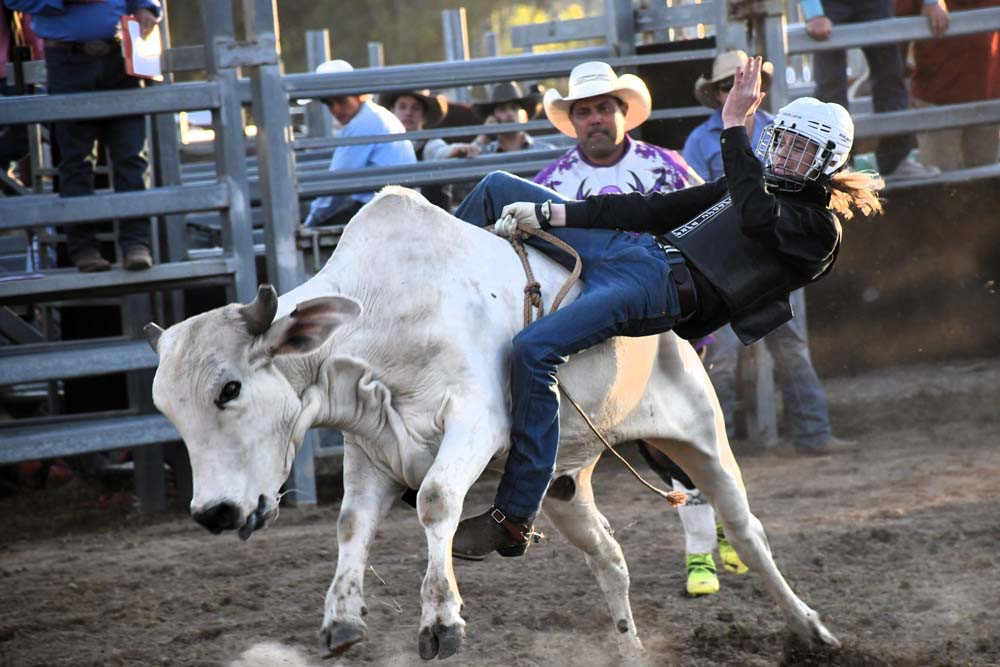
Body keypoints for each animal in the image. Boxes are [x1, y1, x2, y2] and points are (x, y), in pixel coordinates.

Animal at [145, 187, 840, 664]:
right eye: (168, 408)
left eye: (229, 388)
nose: (213, 513)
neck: (384, 316)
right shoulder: (369, 447)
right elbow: (351, 522)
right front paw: (342, 619)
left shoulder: (476, 423)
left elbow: (435, 500)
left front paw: (441, 621)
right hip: (563, 484)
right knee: (609, 557)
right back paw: (629, 648)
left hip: (700, 431)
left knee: (746, 530)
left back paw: (812, 629)